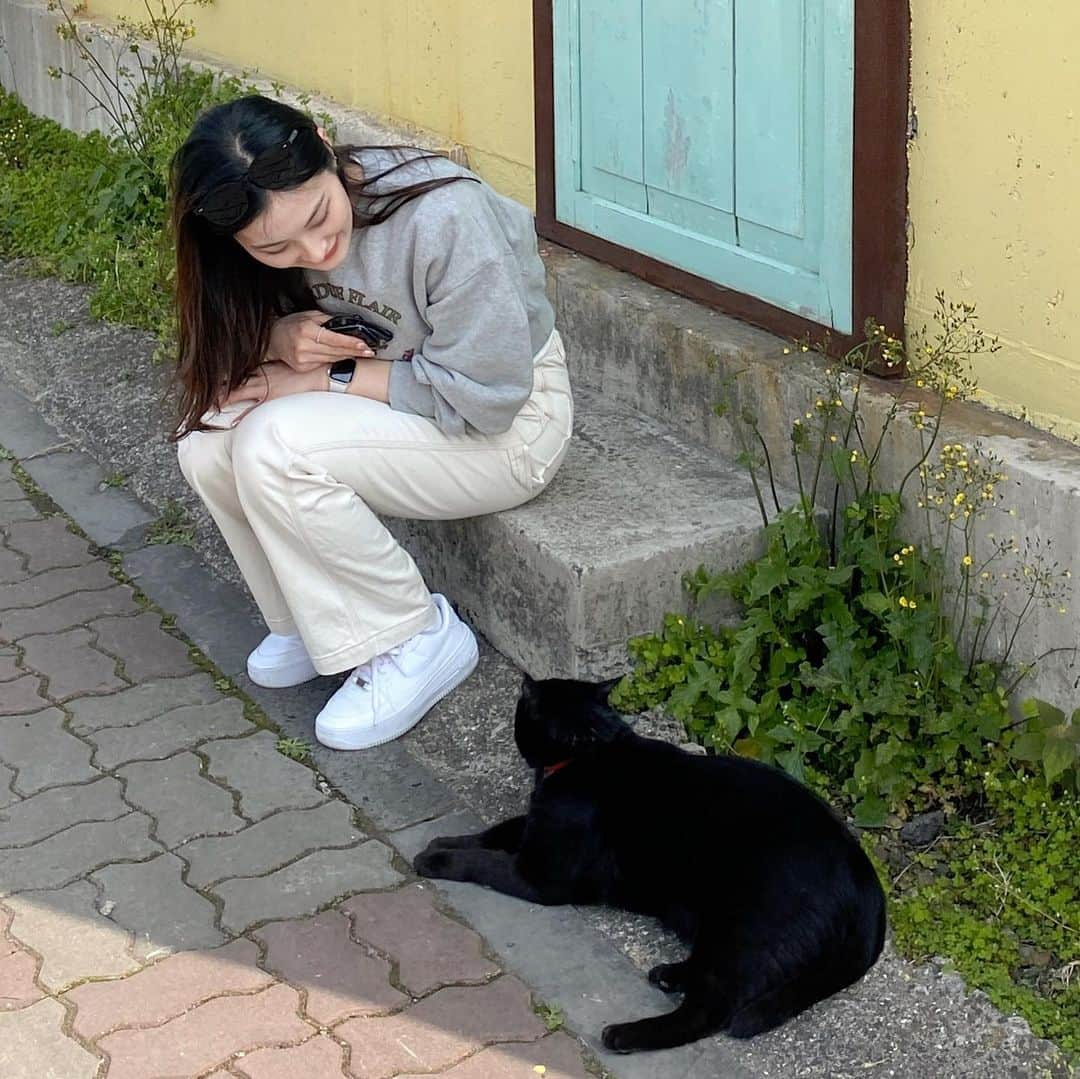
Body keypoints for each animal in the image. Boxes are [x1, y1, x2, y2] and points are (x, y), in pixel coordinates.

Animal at [412, 678, 885, 1049]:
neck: (589, 750)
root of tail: (867, 885)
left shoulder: (541, 877)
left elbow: (484, 863)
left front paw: (437, 859)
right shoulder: (534, 830)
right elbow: (496, 832)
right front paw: (444, 840)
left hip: (741, 928)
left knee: (709, 1012)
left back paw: (627, 1034)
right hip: (715, 928)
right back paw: (669, 975)